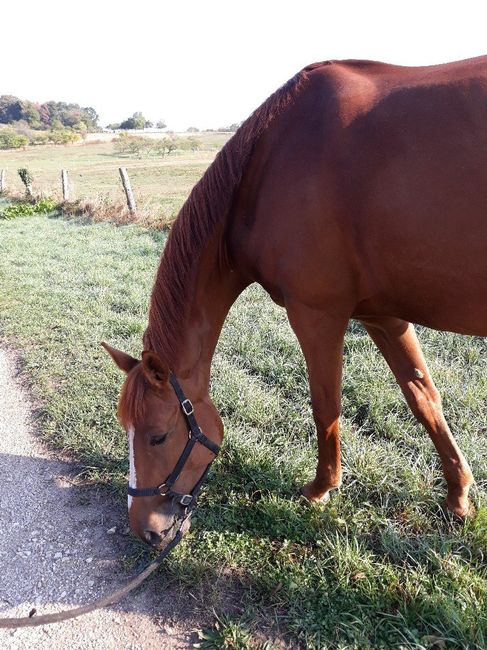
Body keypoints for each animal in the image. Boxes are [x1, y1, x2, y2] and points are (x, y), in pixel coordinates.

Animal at [103, 55, 487, 548]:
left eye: (156, 436)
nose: (145, 530)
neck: (267, 167)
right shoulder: (383, 316)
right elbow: (423, 398)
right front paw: (458, 497)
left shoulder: (316, 314)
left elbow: (326, 406)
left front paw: (321, 488)